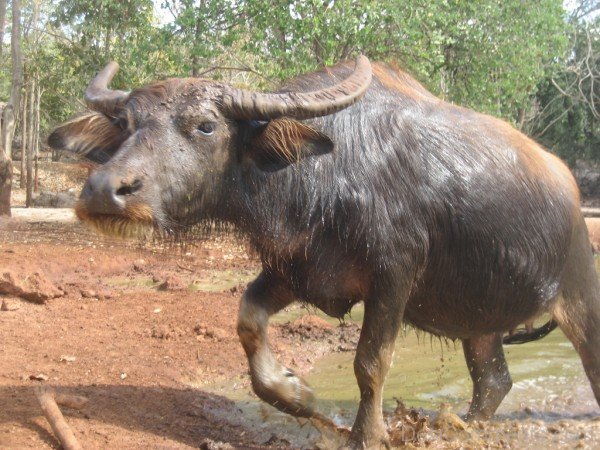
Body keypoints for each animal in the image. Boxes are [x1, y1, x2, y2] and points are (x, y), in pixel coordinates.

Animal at [48, 58, 600, 448]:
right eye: (125, 123)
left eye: (205, 125)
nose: (105, 190)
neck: (323, 176)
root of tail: (572, 194)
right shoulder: (294, 270)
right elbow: (247, 322)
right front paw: (298, 395)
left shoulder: (393, 278)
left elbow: (370, 362)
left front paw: (367, 435)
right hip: (479, 324)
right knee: (493, 383)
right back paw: (461, 424)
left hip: (579, 299)